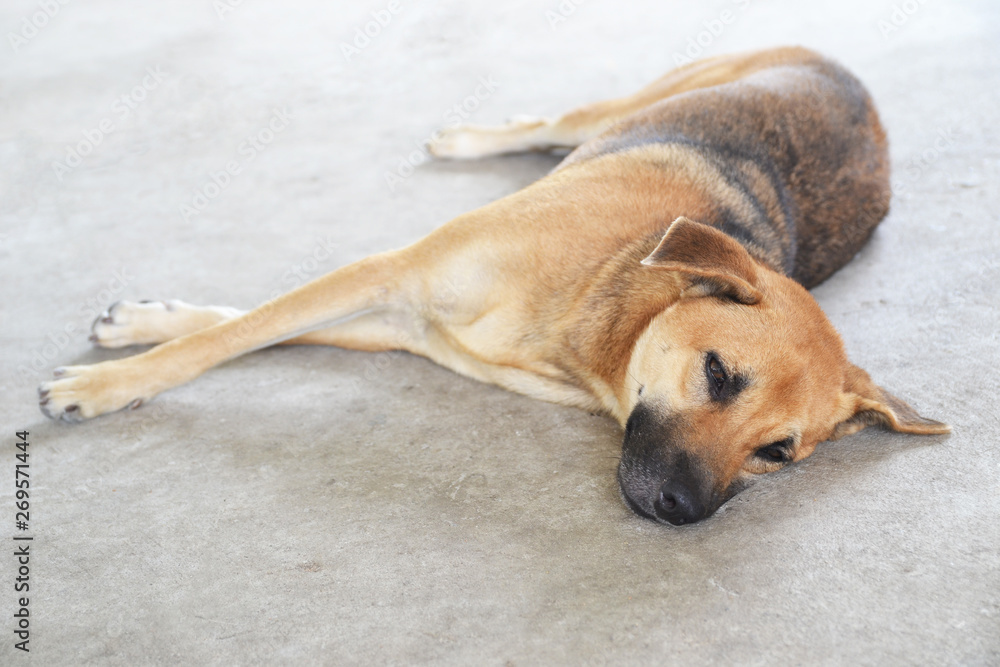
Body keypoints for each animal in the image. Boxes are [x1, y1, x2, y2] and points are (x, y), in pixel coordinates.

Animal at [37, 47, 944, 528]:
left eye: (777, 453)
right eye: (718, 373)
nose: (681, 507)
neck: (596, 308)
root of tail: (860, 90)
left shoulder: (402, 320)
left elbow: (248, 326)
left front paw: (140, 330)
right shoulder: (393, 273)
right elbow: (228, 336)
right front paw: (107, 382)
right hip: (635, 99)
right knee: (546, 124)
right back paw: (469, 139)